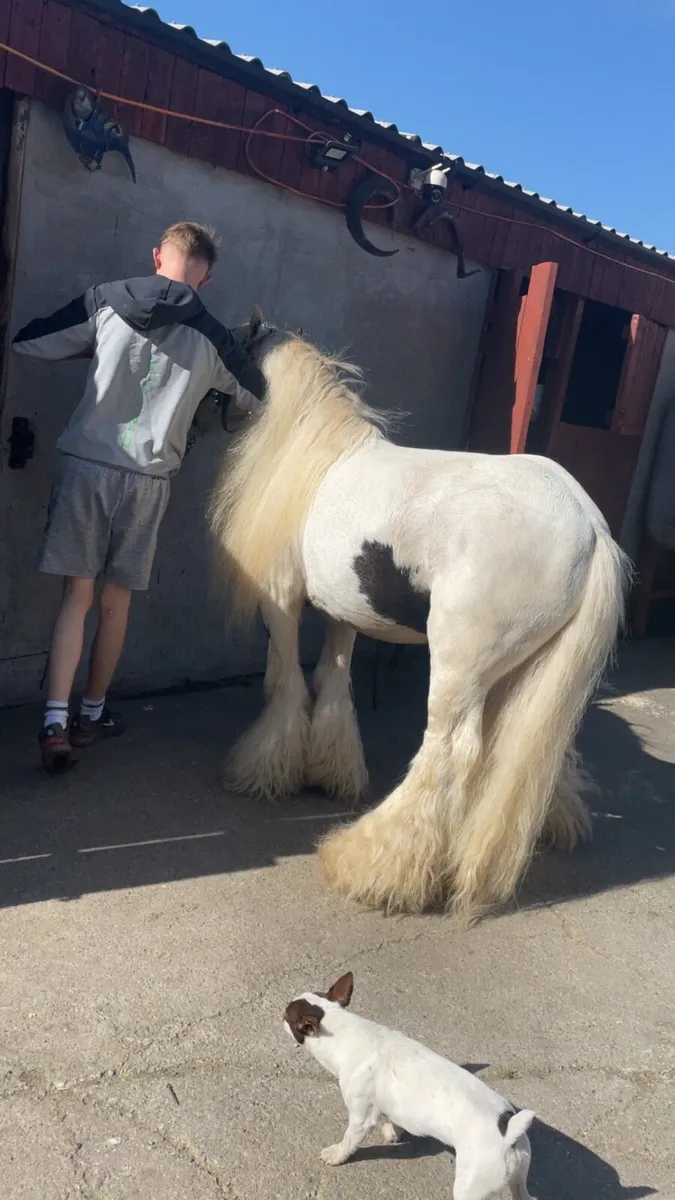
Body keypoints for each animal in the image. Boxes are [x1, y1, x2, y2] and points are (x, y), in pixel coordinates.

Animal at [208, 309, 631, 921]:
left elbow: (286, 684)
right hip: (526, 670)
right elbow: (333, 680)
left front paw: (266, 771)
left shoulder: (281, 601)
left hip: (459, 667)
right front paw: (331, 771)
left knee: (449, 754)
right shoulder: (343, 613)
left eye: (233, 345)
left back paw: (373, 866)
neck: (318, 456)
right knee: (525, 750)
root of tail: (590, 528)